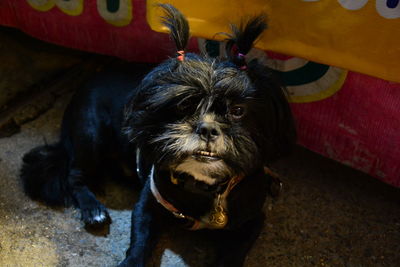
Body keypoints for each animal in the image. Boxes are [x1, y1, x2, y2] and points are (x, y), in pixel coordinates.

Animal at [20, 4, 296, 267]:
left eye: (238, 111)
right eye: (184, 105)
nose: (207, 128)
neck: (203, 187)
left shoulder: (253, 221)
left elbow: (234, 253)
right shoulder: (148, 205)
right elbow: (141, 242)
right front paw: (130, 262)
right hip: (90, 136)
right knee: (74, 176)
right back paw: (93, 210)